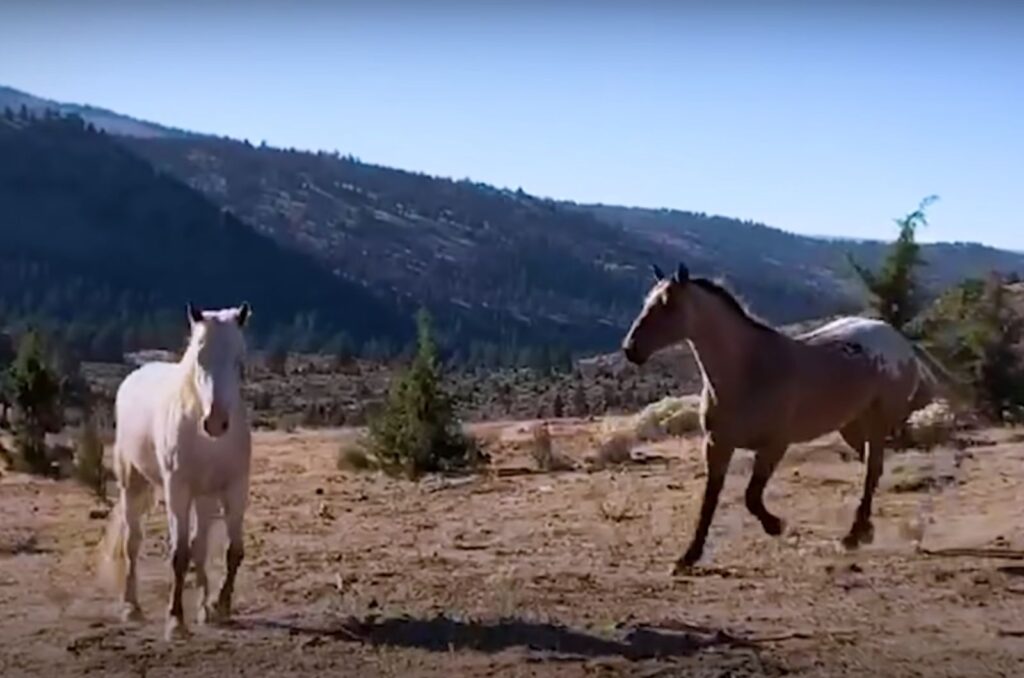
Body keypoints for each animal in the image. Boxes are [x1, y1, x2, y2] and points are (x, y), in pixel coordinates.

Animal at [99, 303, 251, 643]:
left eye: (239, 361)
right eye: (199, 357)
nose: (216, 422)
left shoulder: (235, 488)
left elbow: (232, 551)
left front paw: (220, 607)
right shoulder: (177, 489)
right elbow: (179, 555)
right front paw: (175, 621)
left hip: (205, 498)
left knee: (200, 545)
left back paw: (205, 608)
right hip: (132, 484)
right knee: (132, 542)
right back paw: (131, 608)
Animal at [618, 261, 954, 573]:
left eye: (668, 304)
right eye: (647, 301)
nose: (630, 349)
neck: (749, 370)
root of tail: (900, 340)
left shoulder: (774, 445)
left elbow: (752, 496)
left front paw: (777, 525)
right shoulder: (717, 445)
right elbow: (709, 500)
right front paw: (687, 558)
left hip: (877, 421)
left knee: (873, 469)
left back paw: (855, 535)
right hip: (851, 426)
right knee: (872, 470)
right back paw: (862, 531)